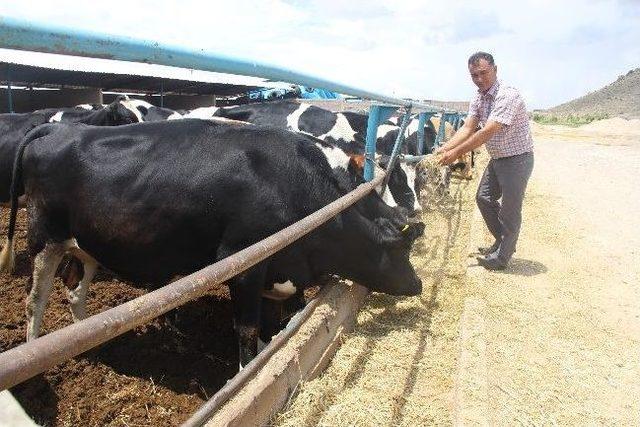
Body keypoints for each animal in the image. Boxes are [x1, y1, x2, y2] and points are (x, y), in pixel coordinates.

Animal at [1, 119, 424, 364]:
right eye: (400, 251)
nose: (418, 284)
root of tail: (58, 129)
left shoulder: (281, 270)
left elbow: (277, 323)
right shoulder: (244, 264)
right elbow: (248, 331)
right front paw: (245, 371)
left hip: (86, 241)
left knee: (74, 291)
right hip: (44, 237)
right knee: (35, 299)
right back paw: (36, 354)